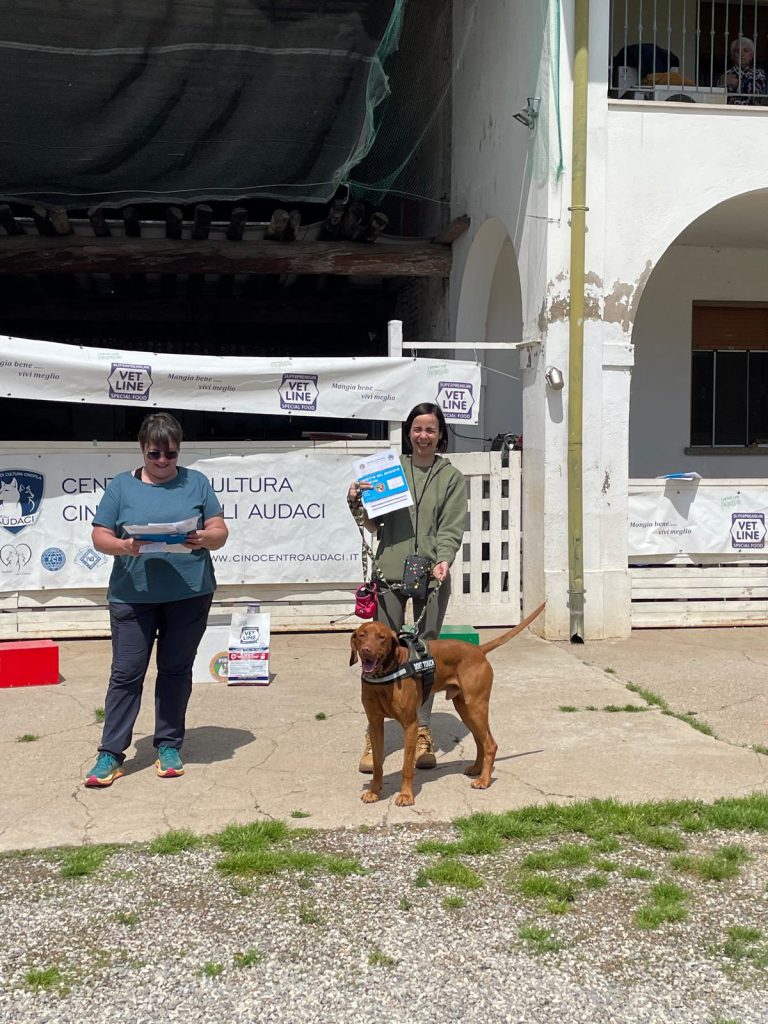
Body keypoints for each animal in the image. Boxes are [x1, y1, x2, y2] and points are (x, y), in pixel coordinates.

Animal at [349, 602, 545, 806]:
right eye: (362, 635)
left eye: (381, 637)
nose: (366, 650)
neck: (386, 676)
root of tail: (479, 650)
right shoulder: (375, 723)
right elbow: (377, 763)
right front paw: (374, 791)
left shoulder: (410, 724)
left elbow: (406, 767)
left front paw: (406, 795)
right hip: (465, 709)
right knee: (480, 740)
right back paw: (476, 768)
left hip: (476, 706)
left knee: (490, 743)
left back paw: (484, 780)